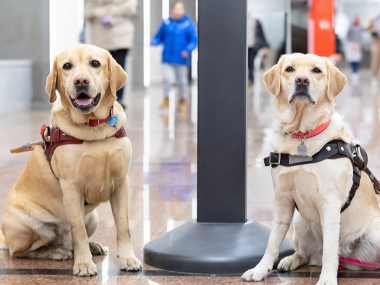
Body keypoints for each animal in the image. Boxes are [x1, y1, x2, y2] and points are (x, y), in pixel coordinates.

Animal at [0, 44, 142, 276]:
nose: (81, 81)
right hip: (26, 225)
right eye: (67, 66)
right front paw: (83, 264)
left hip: (93, 218)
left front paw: (128, 258)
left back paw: (91, 247)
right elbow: (78, 230)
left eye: (95, 63)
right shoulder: (72, 188)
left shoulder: (121, 184)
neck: (93, 127)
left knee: (71, 240)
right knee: (21, 252)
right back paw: (56, 251)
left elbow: (123, 226)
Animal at [243, 52, 380, 282]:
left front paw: (327, 279)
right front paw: (260, 269)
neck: (303, 135)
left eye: (316, 70)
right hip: (300, 221)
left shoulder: (330, 204)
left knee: (330, 253)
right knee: (307, 254)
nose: (301, 80)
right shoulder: (282, 200)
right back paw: (291, 260)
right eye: (289, 69)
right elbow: (272, 241)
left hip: (375, 231)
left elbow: (330, 251)